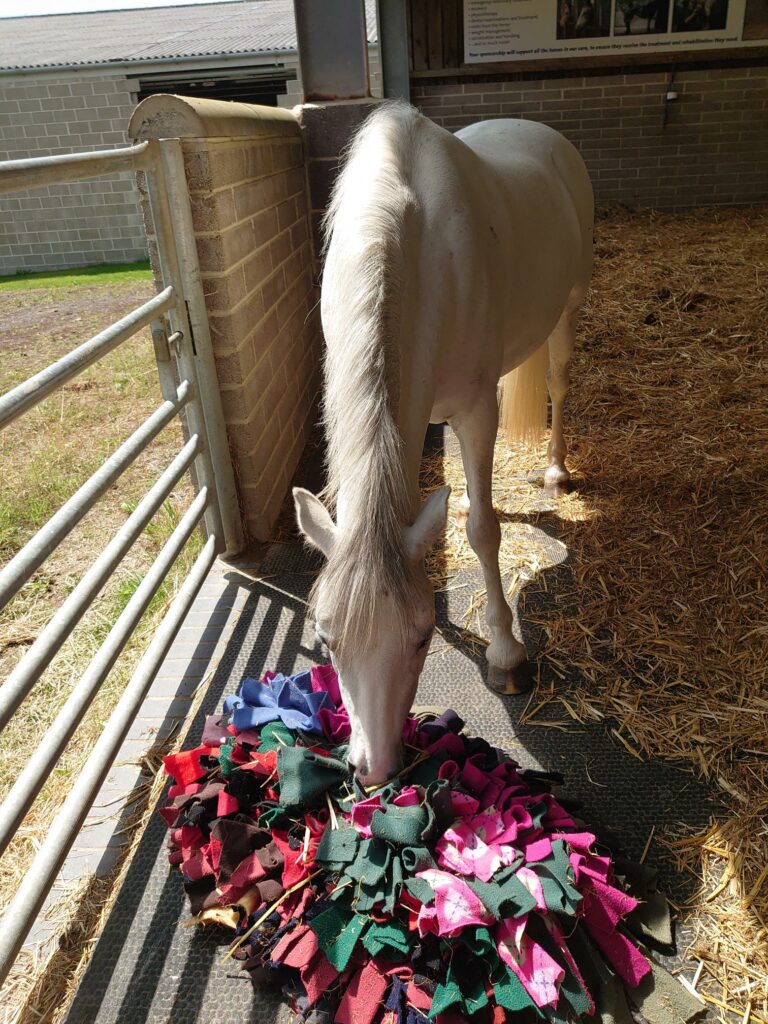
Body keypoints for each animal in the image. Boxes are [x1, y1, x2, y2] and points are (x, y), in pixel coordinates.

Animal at [294, 103, 593, 778]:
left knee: (558, 382)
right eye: (326, 638)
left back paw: (556, 470)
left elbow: (483, 530)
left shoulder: (475, 412)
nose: (374, 770)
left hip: (567, 308)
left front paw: (505, 653)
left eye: (421, 636)